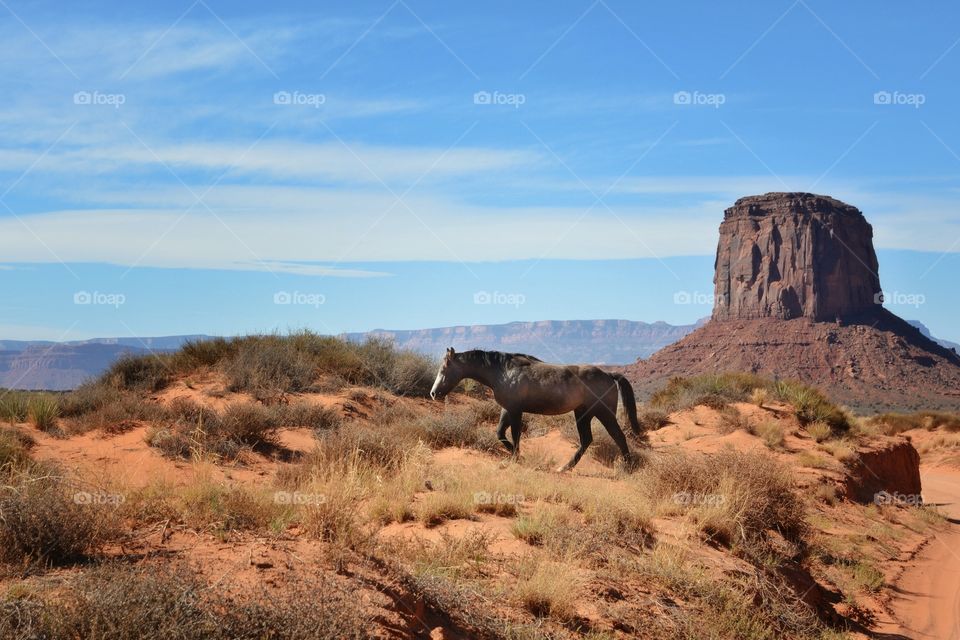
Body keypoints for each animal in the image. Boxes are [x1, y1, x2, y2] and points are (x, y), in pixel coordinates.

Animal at [429, 347, 643, 471]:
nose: (433, 393)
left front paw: (516, 458)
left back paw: (628, 467)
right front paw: (517, 456)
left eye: (444, 368)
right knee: (586, 440)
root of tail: (608, 374)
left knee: (618, 436)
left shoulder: (516, 411)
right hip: (583, 414)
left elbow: (515, 435)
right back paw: (564, 468)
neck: (503, 371)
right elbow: (500, 433)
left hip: (603, 413)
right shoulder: (507, 409)